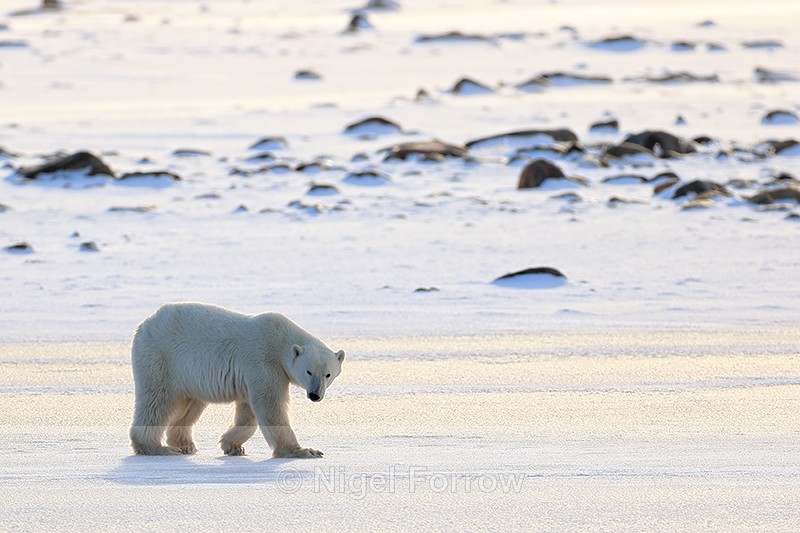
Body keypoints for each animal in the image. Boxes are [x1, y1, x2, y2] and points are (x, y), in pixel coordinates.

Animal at [128, 302, 345, 458]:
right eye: (308, 372)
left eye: (328, 374)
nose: (315, 394)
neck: (281, 340)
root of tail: (143, 325)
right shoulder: (264, 362)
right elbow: (270, 406)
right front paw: (305, 451)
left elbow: (248, 412)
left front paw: (231, 445)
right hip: (161, 359)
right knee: (157, 401)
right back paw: (157, 448)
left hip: (187, 375)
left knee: (190, 404)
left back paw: (186, 445)